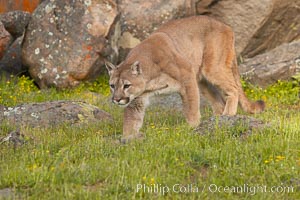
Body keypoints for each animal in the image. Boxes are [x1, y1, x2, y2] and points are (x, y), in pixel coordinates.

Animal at [105, 16, 264, 143]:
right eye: (112, 85)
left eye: (126, 85)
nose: (116, 99)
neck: (150, 79)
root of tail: (225, 25)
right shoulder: (137, 99)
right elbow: (131, 121)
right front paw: (128, 138)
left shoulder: (187, 76)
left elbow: (191, 107)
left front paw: (192, 127)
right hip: (203, 81)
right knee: (219, 102)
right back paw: (218, 120)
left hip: (212, 68)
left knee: (234, 88)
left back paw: (228, 114)